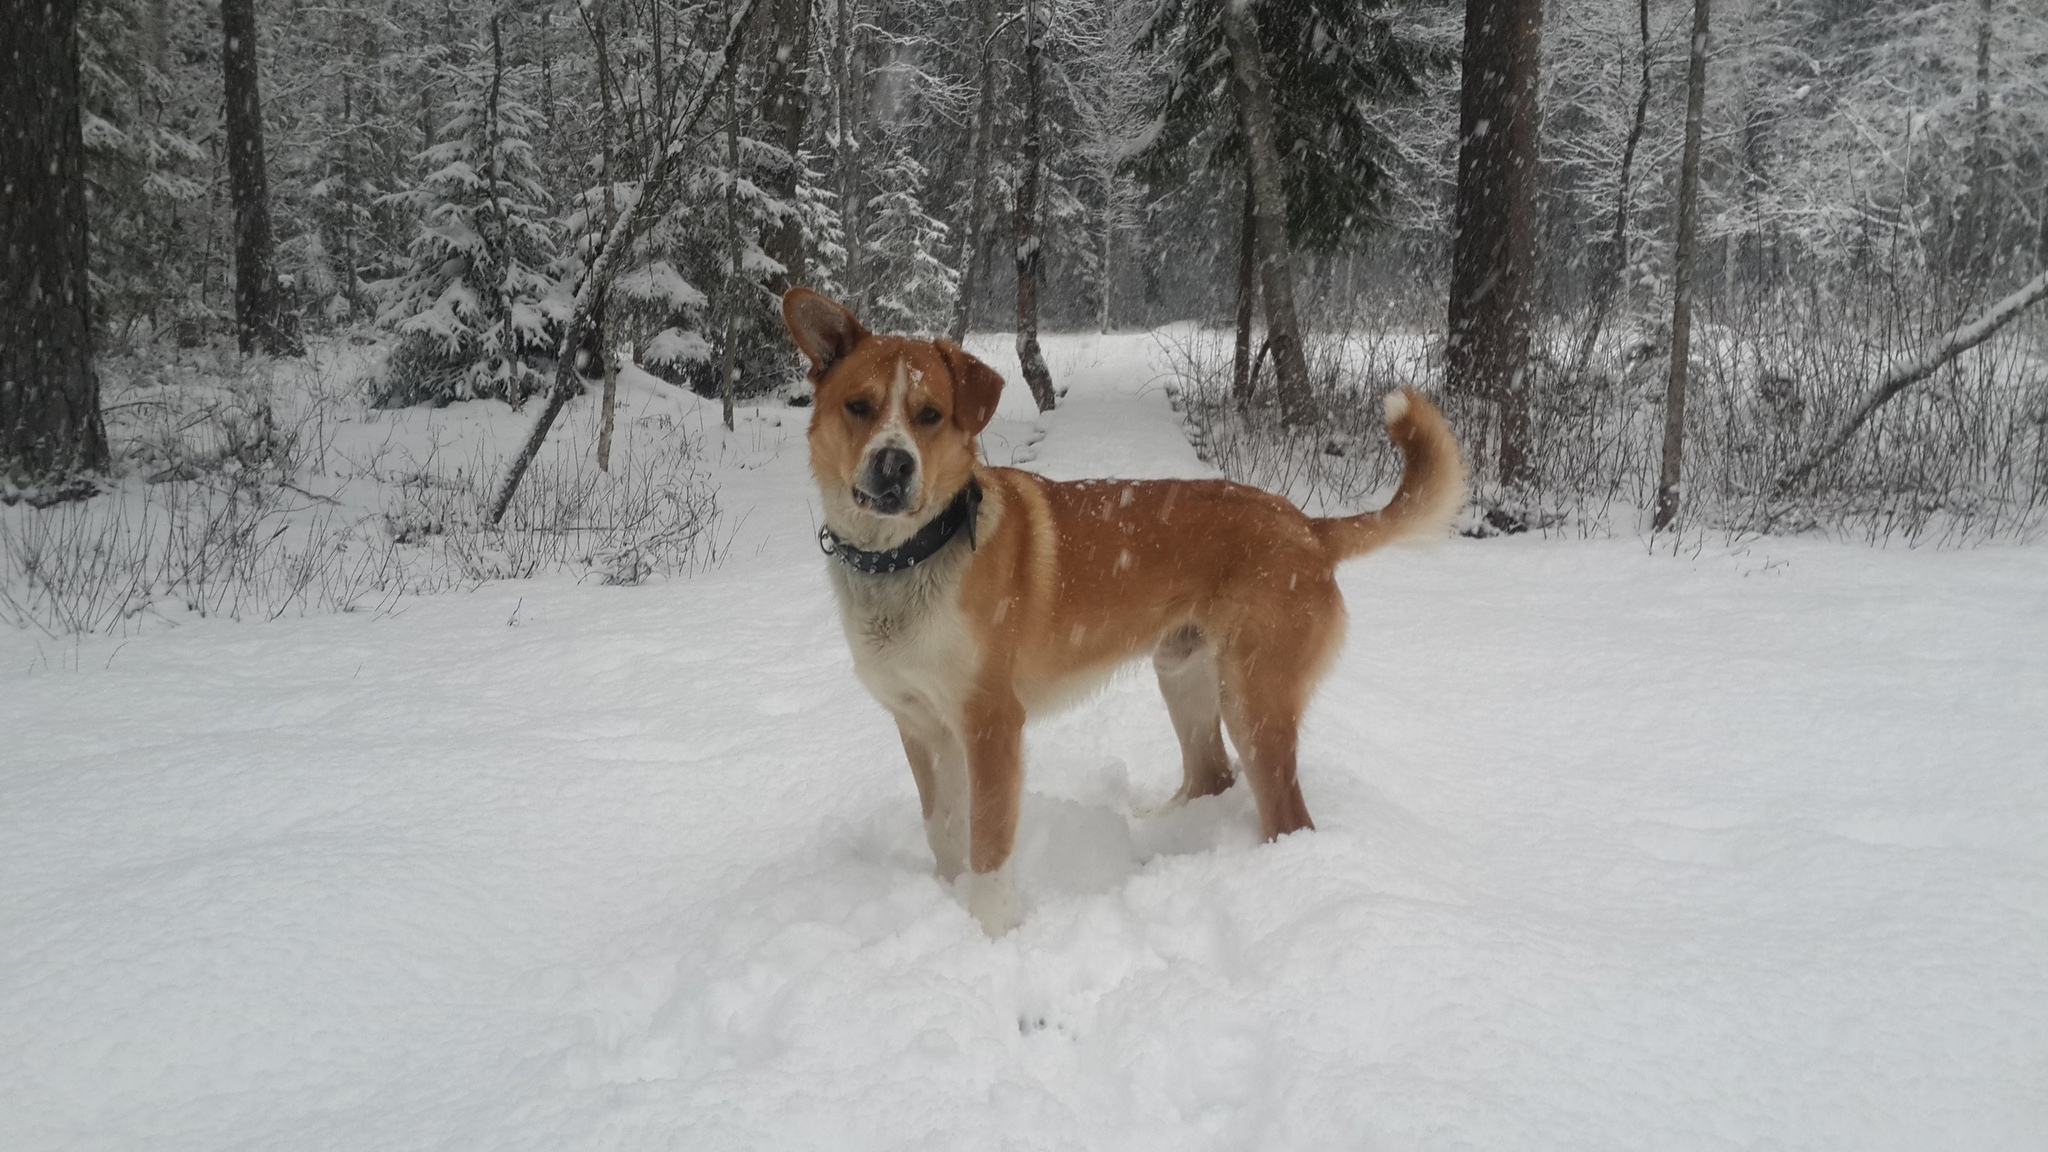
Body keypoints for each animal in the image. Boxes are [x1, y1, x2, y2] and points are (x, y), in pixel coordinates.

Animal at [774, 286, 1466, 934]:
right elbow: (943, 830)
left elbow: (989, 844)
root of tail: (1308, 526)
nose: (894, 465)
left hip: (1255, 696)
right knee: (1212, 775)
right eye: (859, 407)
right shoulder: (919, 724)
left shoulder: (991, 724)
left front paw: (990, 932)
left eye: (930, 416)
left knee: (1287, 816)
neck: (907, 558)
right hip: (1184, 675)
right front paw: (949, 905)